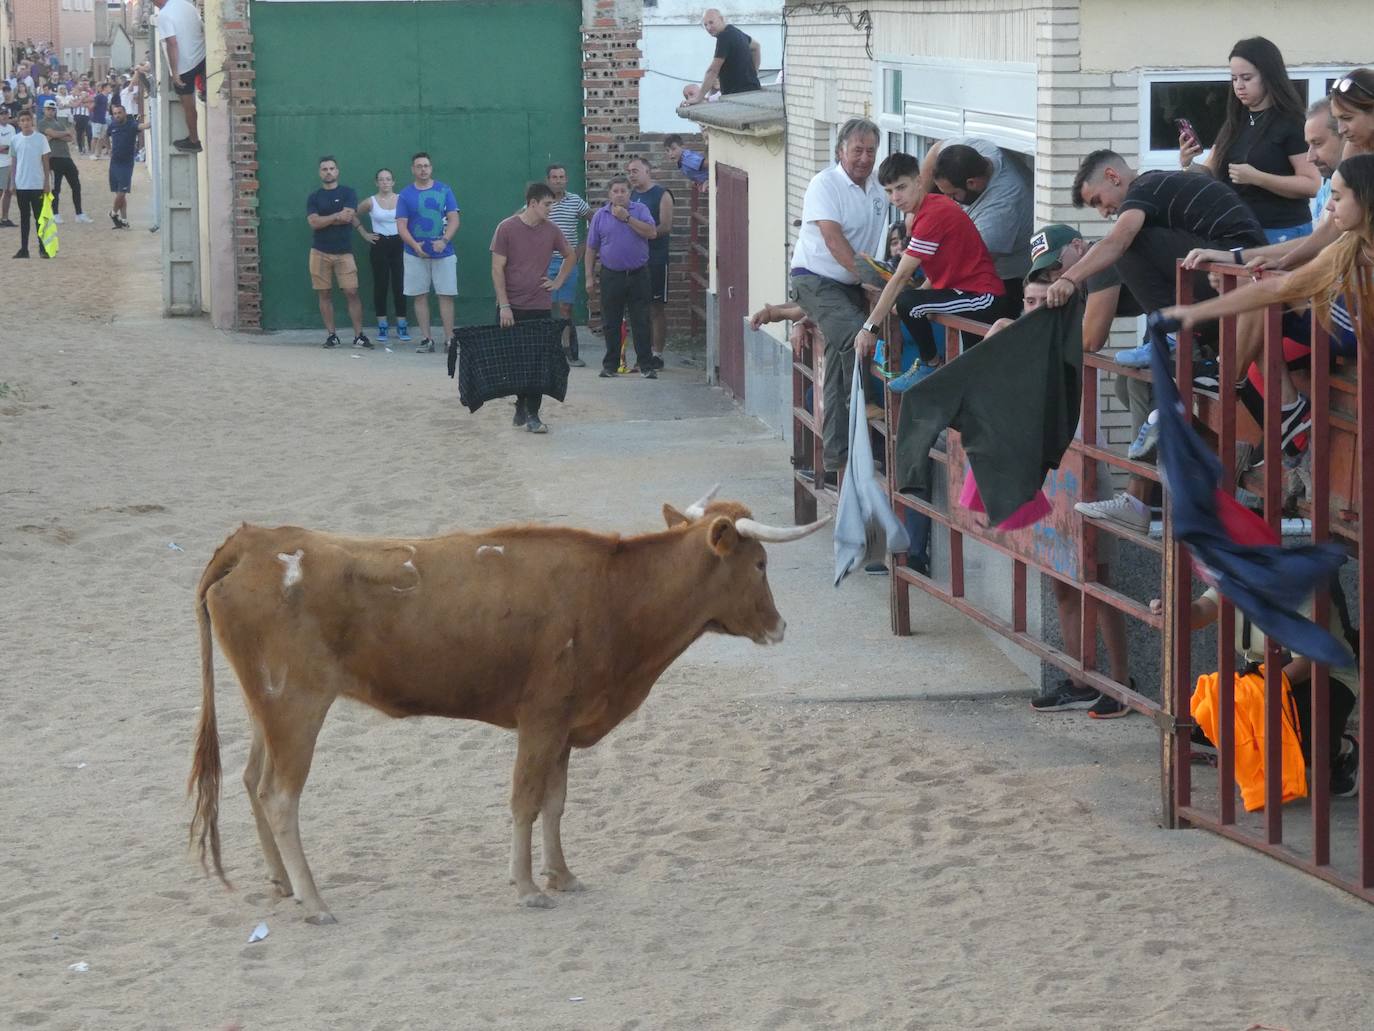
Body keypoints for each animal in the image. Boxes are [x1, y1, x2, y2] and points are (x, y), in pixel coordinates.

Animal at [188, 489, 818, 923]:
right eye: (760, 565)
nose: (782, 626)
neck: (614, 593)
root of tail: (254, 541)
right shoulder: (540, 720)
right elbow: (525, 802)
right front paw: (528, 887)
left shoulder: (564, 727)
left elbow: (555, 803)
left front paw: (561, 875)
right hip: (296, 706)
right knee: (279, 795)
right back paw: (314, 900)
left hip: (267, 707)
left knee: (251, 780)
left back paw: (282, 883)